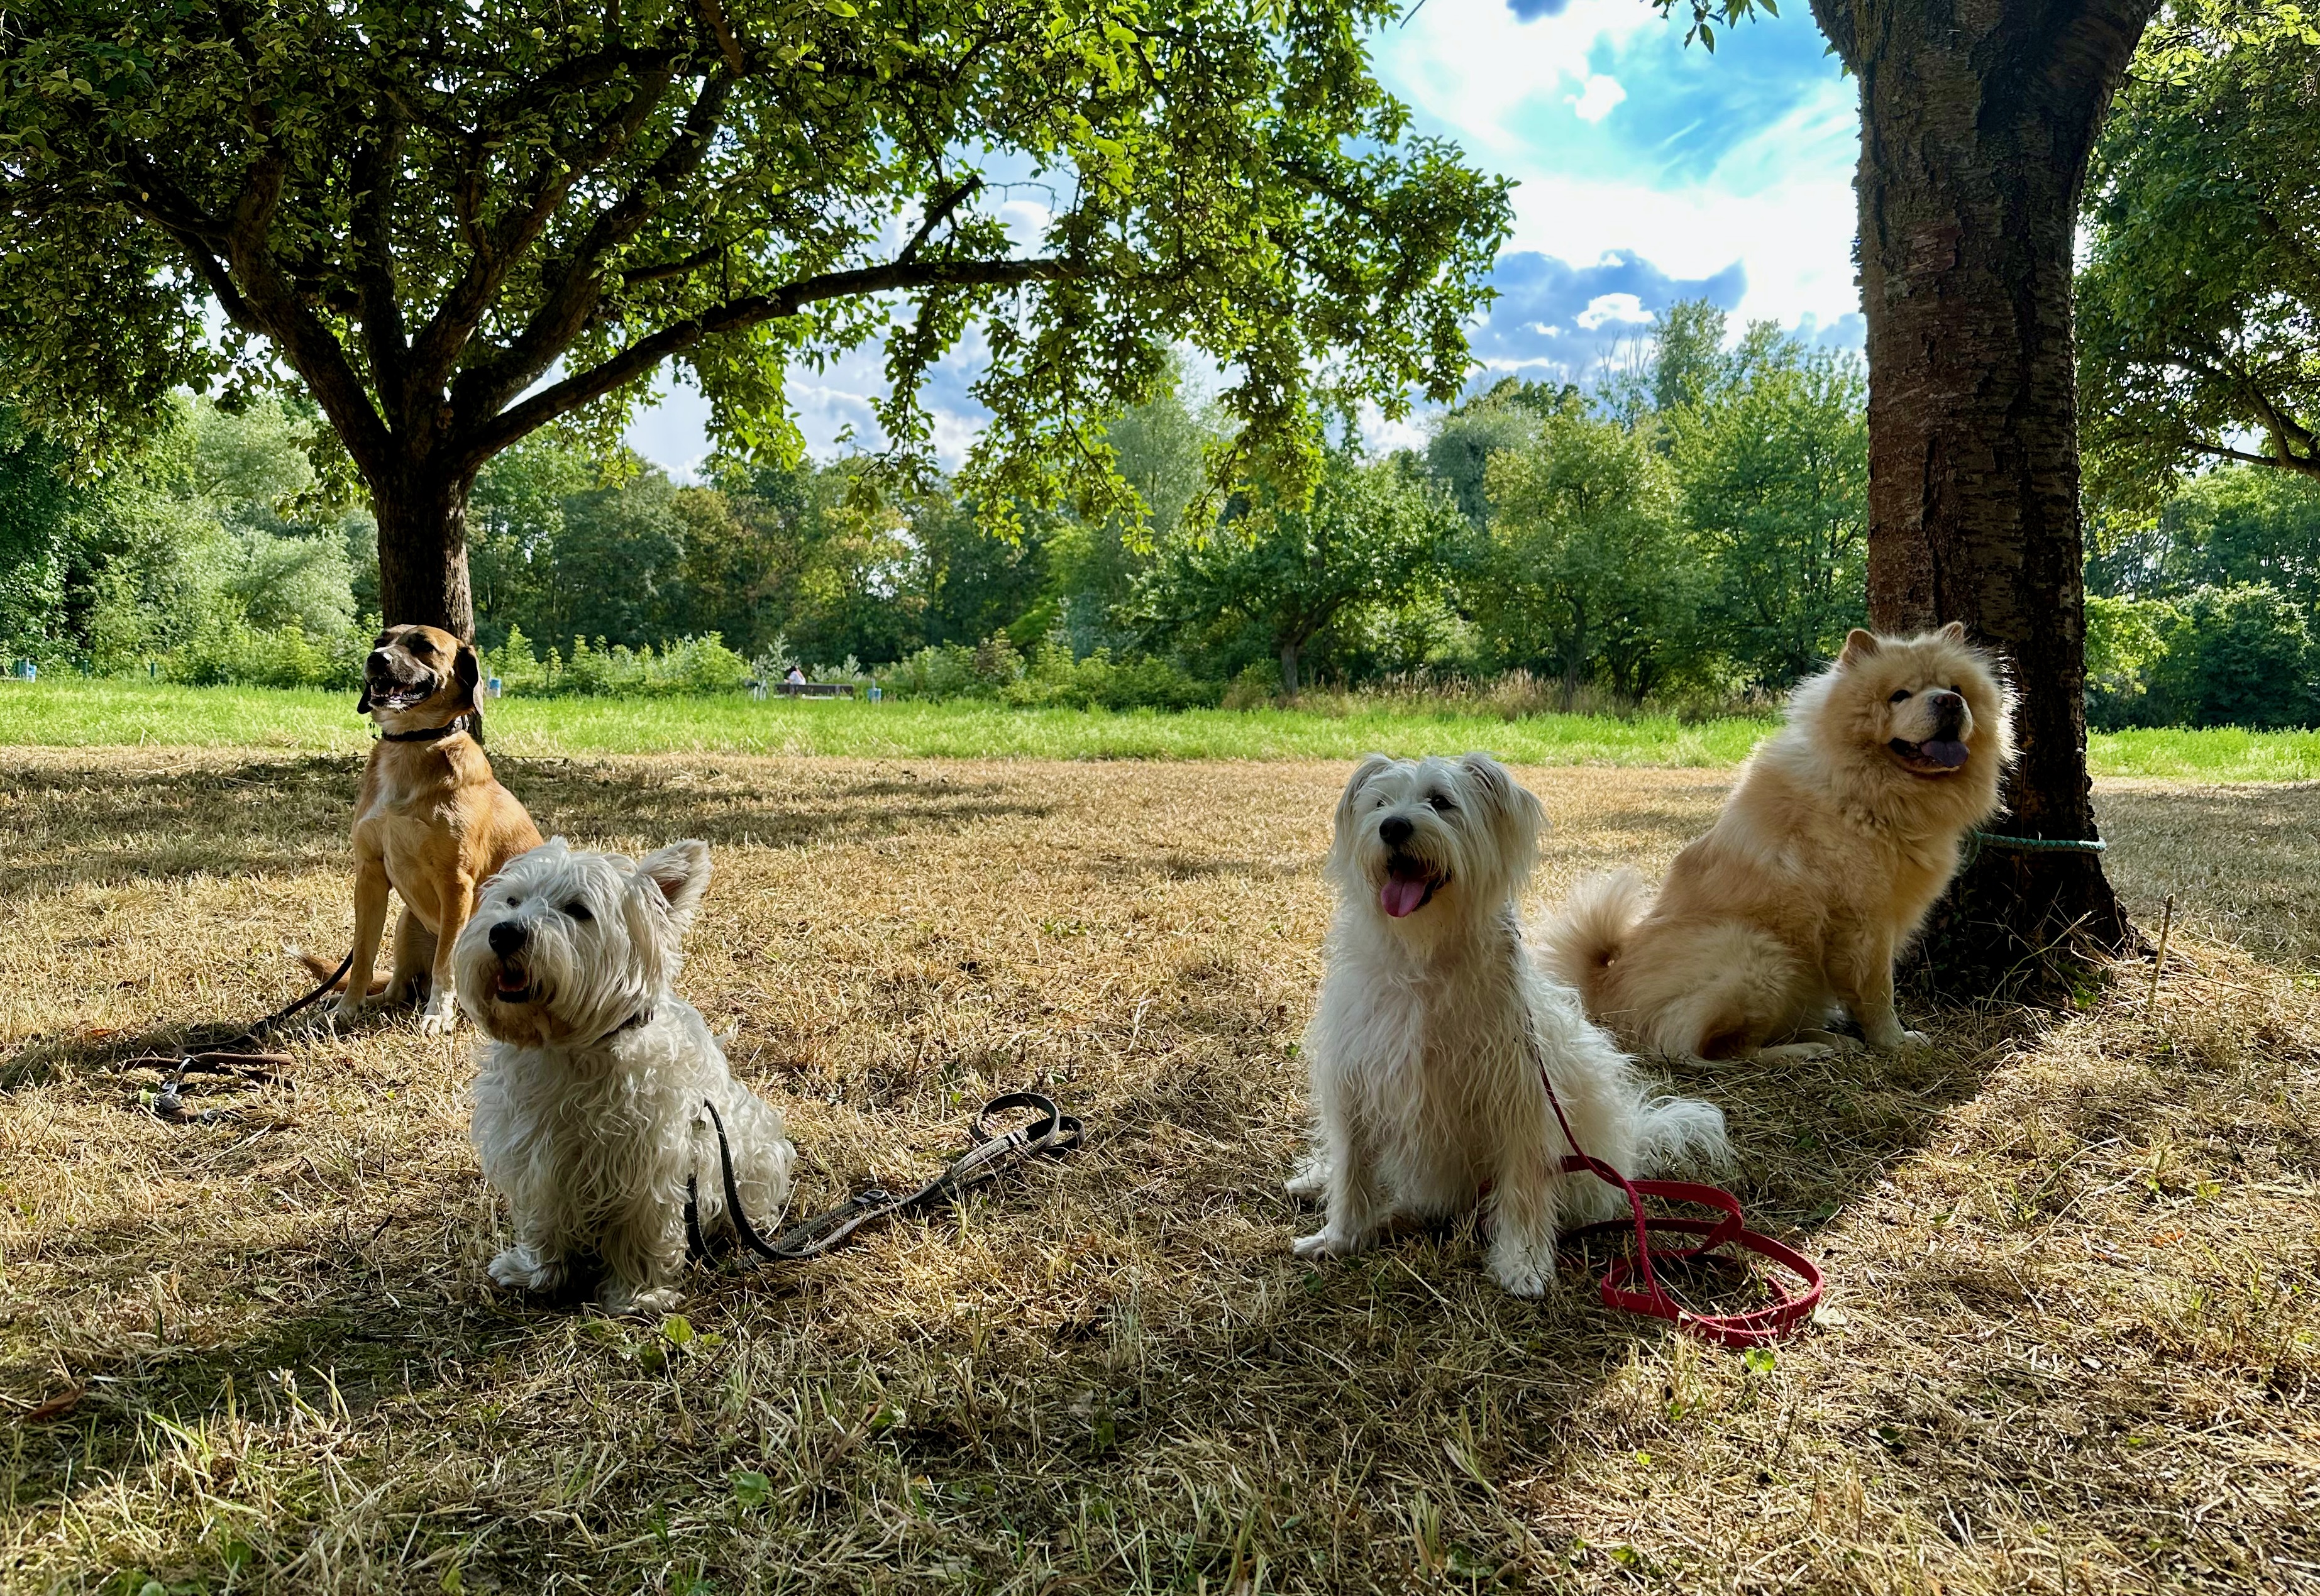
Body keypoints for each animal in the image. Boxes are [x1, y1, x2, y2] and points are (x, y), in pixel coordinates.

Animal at [331, 622, 543, 1034]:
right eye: (381, 640)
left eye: (425, 646)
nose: (376, 659)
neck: (412, 748)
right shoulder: (370, 874)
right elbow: (363, 954)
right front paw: (348, 1007)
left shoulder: (456, 883)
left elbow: (446, 961)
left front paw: (438, 1014)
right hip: (406, 925)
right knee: (397, 990)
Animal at [452, 835, 798, 1308]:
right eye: (512, 900)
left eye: (578, 910)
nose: (504, 933)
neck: (569, 1048)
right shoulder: (537, 1155)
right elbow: (544, 1217)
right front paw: (537, 1271)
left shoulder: (652, 1160)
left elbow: (643, 1229)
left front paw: (638, 1295)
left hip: (752, 1149)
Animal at [1299, 751, 1735, 1299]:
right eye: (1379, 803)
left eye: (1441, 801)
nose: (1393, 826)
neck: (1422, 958)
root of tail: (1627, 1144)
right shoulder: (1355, 1081)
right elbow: (1352, 1168)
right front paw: (1341, 1235)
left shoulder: (1521, 1099)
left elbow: (1524, 1188)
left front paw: (1522, 1262)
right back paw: (1323, 1181)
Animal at [1549, 622, 2023, 1057]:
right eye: (1900, 695)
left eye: (1956, 688)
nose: (1949, 702)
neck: (1866, 794)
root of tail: (1604, 993)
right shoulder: (1864, 923)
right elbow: (1877, 993)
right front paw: (1893, 1043)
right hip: (1762, 956)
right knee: (1730, 1051)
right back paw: (1806, 1050)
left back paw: (1830, 1039)